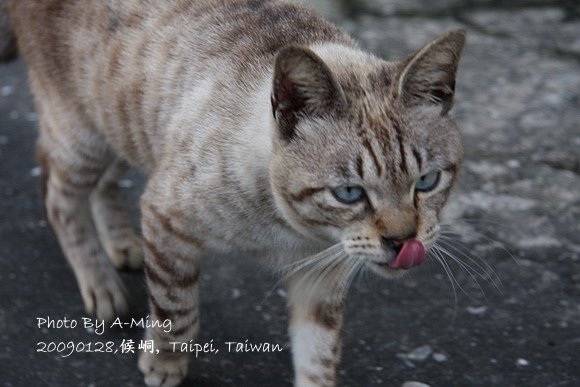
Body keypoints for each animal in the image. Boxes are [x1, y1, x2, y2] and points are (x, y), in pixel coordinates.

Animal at [3, 0, 466, 386]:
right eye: (350, 193)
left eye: (426, 182)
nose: (403, 241)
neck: (293, 231)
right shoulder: (165, 218)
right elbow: (177, 313)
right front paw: (163, 367)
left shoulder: (323, 275)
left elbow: (318, 359)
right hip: (84, 136)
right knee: (56, 194)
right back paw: (101, 286)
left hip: (126, 130)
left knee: (102, 185)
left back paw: (122, 247)